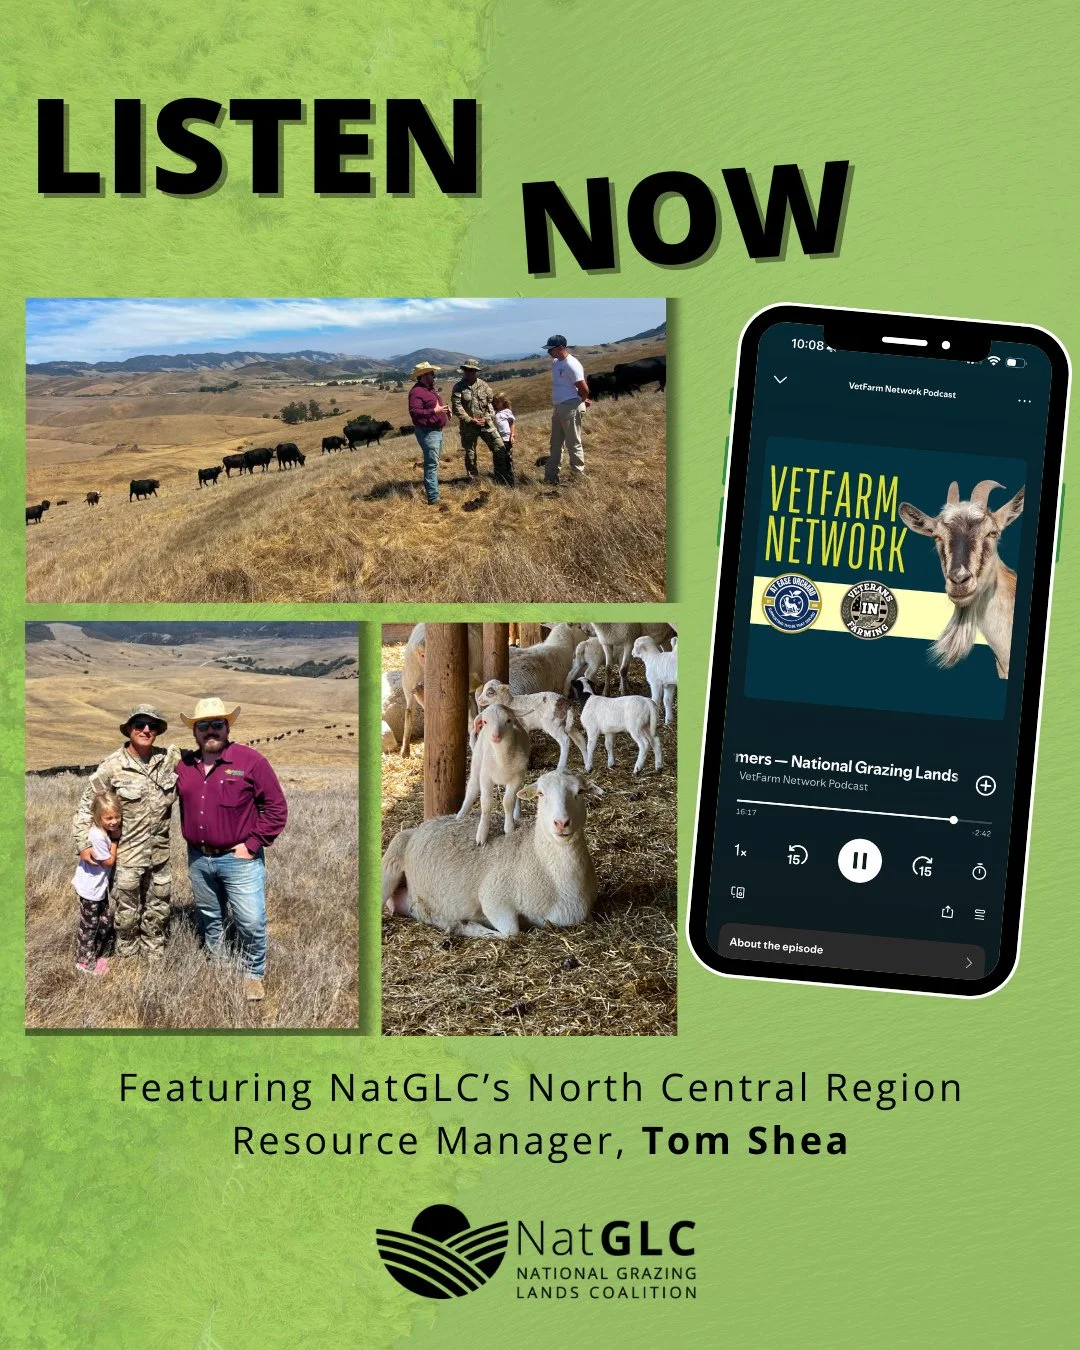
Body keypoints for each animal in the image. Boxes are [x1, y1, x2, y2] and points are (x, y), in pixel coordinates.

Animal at [382, 769, 603, 938]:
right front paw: (464, 925)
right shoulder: (494, 898)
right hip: (391, 862)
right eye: (540, 794)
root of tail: (421, 826)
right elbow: (510, 933)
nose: (561, 823)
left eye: (580, 792)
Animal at [455, 703, 531, 845]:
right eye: (485, 721)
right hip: (477, 762)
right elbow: (486, 803)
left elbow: (508, 801)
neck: (501, 759)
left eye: (508, 720)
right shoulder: (486, 776)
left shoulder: (517, 777)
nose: (496, 736)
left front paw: (509, 827)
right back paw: (461, 814)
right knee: (472, 788)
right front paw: (482, 834)